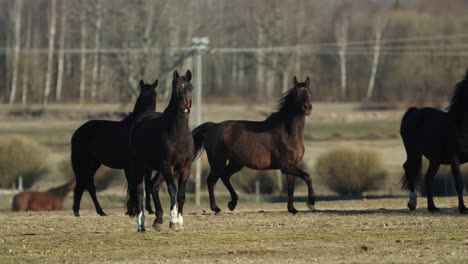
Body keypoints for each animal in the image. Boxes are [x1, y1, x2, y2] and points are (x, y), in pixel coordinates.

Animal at [71, 78, 158, 217]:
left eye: (154, 94)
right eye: (142, 95)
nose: (148, 113)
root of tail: (76, 133)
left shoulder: (145, 167)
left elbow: (145, 185)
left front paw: (147, 210)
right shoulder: (130, 166)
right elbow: (133, 186)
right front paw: (133, 210)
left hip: (93, 163)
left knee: (82, 185)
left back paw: (78, 212)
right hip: (86, 163)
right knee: (89, 185)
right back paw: (99, 211)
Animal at [126, 69, 194, 231]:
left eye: (190, 88)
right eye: (176, 89)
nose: (184, 109)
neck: (178, 134)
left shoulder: (185, 167)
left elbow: (181, 194)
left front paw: (179, 221)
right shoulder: (167, 165)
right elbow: (172, 189)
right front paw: (173, 221)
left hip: (157, 169)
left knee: (153, 186)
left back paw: (158, 219)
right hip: (140, 166)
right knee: (140, 190)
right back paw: (141, 224)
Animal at [192, 76, 316, 214]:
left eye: (309, 92)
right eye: (297, 93)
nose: (307, 108)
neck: (288, 133)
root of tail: (213, 126)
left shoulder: (292, 165)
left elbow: (290, 187)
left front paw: (292, 209)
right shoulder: (285, 166)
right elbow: (307, 176)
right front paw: (311, 203)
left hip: (236, 163)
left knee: (224, 176)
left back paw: (232, 203)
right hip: (218, 161)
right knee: (211, 180)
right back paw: (216, 208)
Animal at [400, 68, 468, 212]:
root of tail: (414, 112)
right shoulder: (454, 158)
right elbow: (459, 183)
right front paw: (462, 208)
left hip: (434, 159)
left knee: (428, 178)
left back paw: (432, 207)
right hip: (414, 152)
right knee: (409, 168)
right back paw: (412, 203)